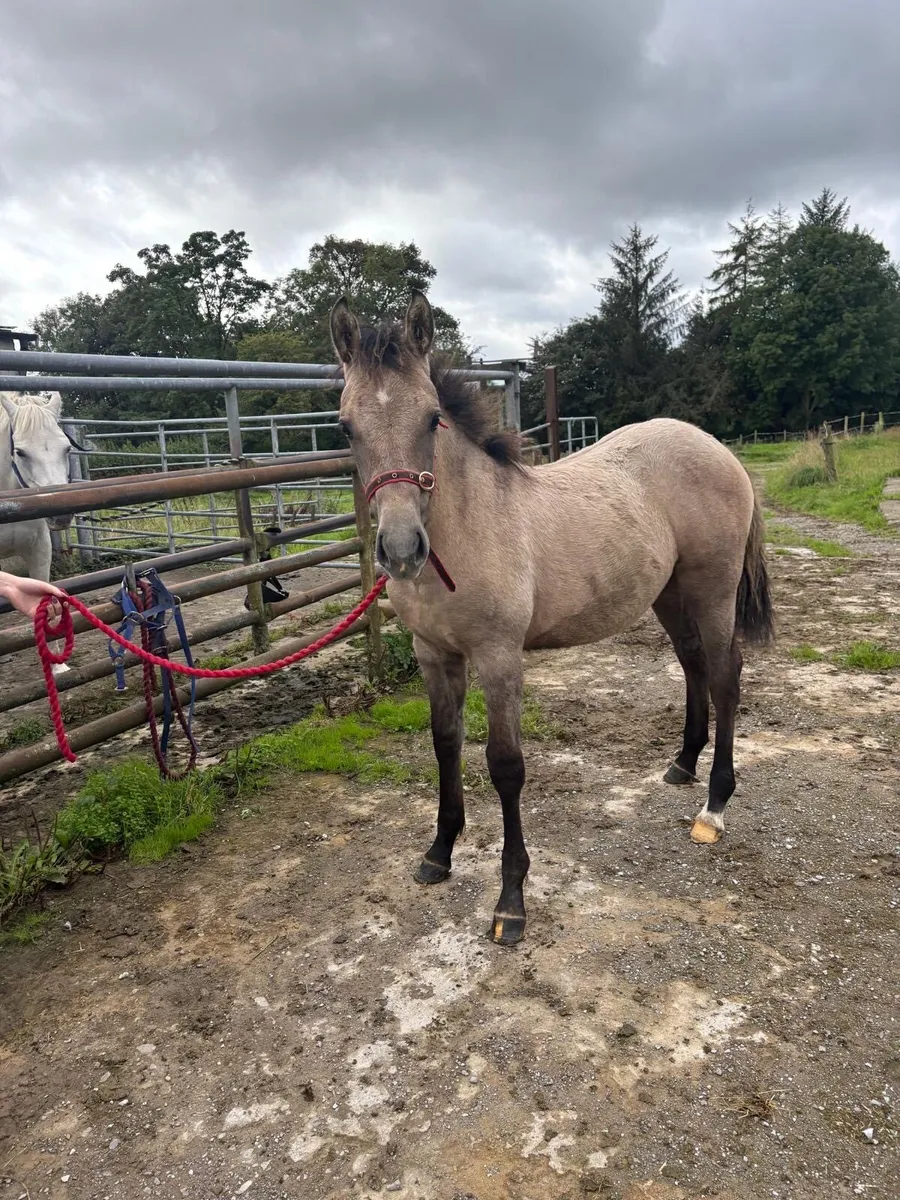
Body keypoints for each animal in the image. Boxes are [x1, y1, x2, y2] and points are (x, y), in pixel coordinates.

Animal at [330, 292, 774, 946]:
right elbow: (444, 745)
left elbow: (505, 766)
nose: (403, 547)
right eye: (345, 426)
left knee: (725, 675)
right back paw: (682, 765)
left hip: (712, 591)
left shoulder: (498, 657)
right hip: (668, 595)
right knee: (693, 665)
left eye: (432, 418)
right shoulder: (434, 654)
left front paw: (510, 902)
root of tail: (718, 448)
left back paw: (713, 808)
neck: (467, 530)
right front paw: (439, 852)